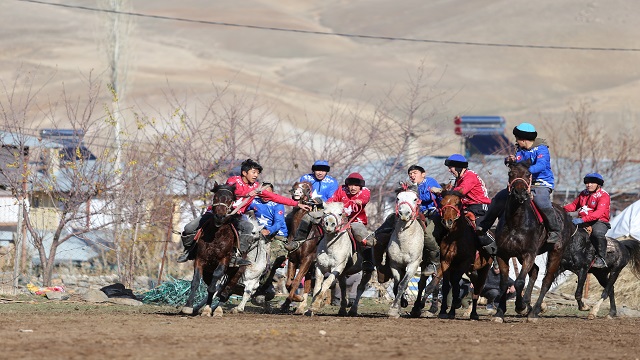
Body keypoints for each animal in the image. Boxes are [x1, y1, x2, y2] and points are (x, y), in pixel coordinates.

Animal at [384, 186, 424, 318]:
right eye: (397, 198)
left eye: (415, 199)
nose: (404, 213)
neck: (404, 242)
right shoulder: (395, 265)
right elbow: (397, 286)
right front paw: (398, 307)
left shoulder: (413, 265)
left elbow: (403, 284)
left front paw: (394, 309)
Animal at [418, 190, 492, 320]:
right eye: (442, 203)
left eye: (457, 203)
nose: (448, 221)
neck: (456, 237)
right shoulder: (446, 262)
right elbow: (445, 286)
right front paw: (443, 311)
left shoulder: (464, 262)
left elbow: (455, 285)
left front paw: (452, 309)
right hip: (471, 271)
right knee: (473, 285)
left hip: (485, 268)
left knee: (478, 289)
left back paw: (473, 314)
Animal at [490, 160, 576, 324]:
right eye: (510, 173)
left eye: (528, 174)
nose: (520, 193)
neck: (515, 222)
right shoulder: (503, 254)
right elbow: (504, 283)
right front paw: (500, 312)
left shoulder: (529, 254)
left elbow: (519, 282)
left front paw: (520, 307)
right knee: (535, 271)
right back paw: (528, 304)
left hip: (556, 252)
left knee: (546, 280)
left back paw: (533, 311)